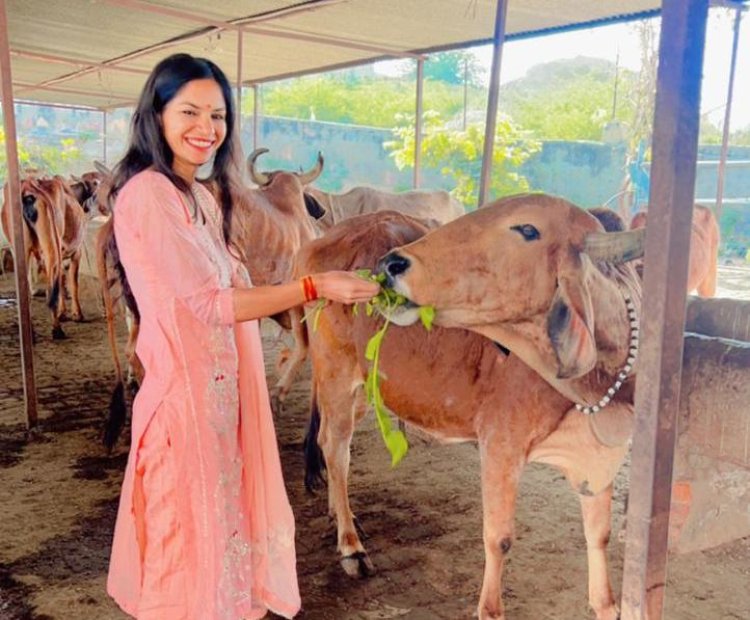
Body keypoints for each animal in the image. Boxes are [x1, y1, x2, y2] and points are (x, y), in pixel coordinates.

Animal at [0, 174, 86, 340]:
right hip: (50, 246)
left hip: (20, 249)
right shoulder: (76, 252)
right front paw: (76, 314)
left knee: (26, 292)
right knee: (50, 289)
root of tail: (28, 185)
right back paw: (57, 330)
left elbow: (62, 283)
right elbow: (72, 283)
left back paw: (32, 333)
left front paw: (63, 313)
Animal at [302, 209, 648, 620]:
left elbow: (599, 534)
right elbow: (500, 538)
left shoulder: (597, 458)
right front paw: (490, 609)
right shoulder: (500, 442)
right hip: (335, 373)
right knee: (335, 448)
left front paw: (607, 604)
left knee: (332, 447)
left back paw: (340, 515)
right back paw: (351, 547)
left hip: (362, 389)